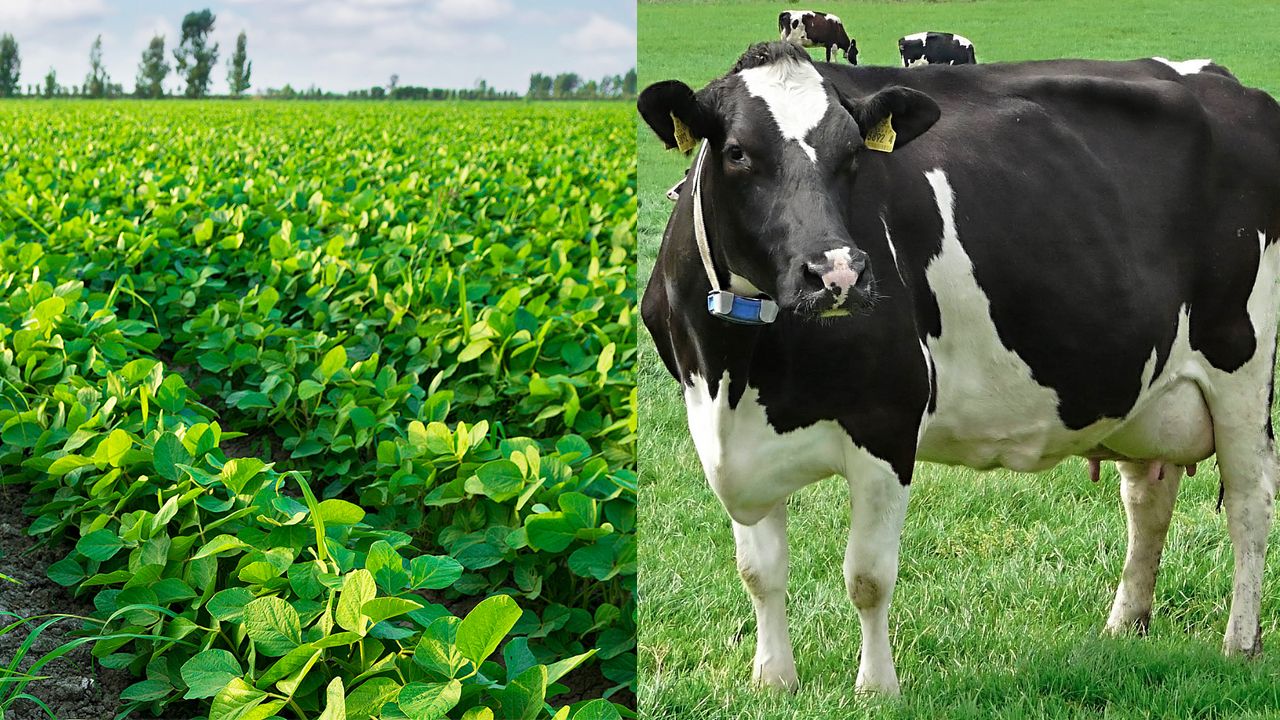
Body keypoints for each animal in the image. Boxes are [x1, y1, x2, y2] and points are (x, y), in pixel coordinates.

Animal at [637, 41, 1280, 695]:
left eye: (852, 154)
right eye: (738, 152)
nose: (838, 274)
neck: (736, 370)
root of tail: (1228, 83)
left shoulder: (888, 422)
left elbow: (867, 576)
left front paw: (876, 689)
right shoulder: (727, 437)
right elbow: (758, 572)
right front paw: (773, 680)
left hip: (1242, 365)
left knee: (1250, 502)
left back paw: (1240, 644)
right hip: (1142, 384)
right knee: (1148, 497)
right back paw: (1124, 627)